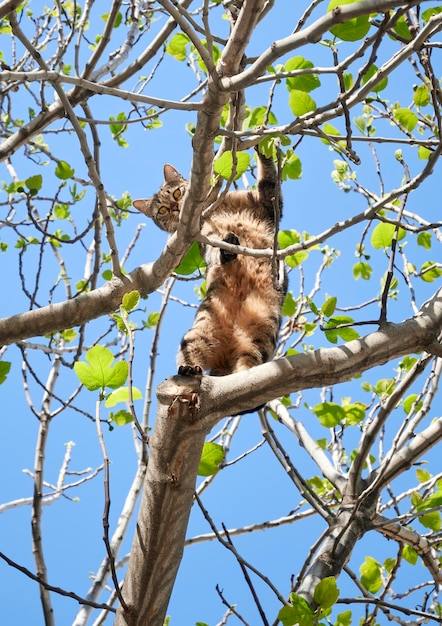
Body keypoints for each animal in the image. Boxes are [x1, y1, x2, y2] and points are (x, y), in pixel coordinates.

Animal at [133, 151, 286, 376]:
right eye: (162, 210)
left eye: (177, 193)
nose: (175, 207)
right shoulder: (206, 236)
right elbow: (215, 249)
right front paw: (226, 252)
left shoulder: (268, 203)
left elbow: (268, 176)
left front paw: (263, 150)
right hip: (198, 334)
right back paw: (189, 369)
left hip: (262, 338)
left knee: (247, 362)